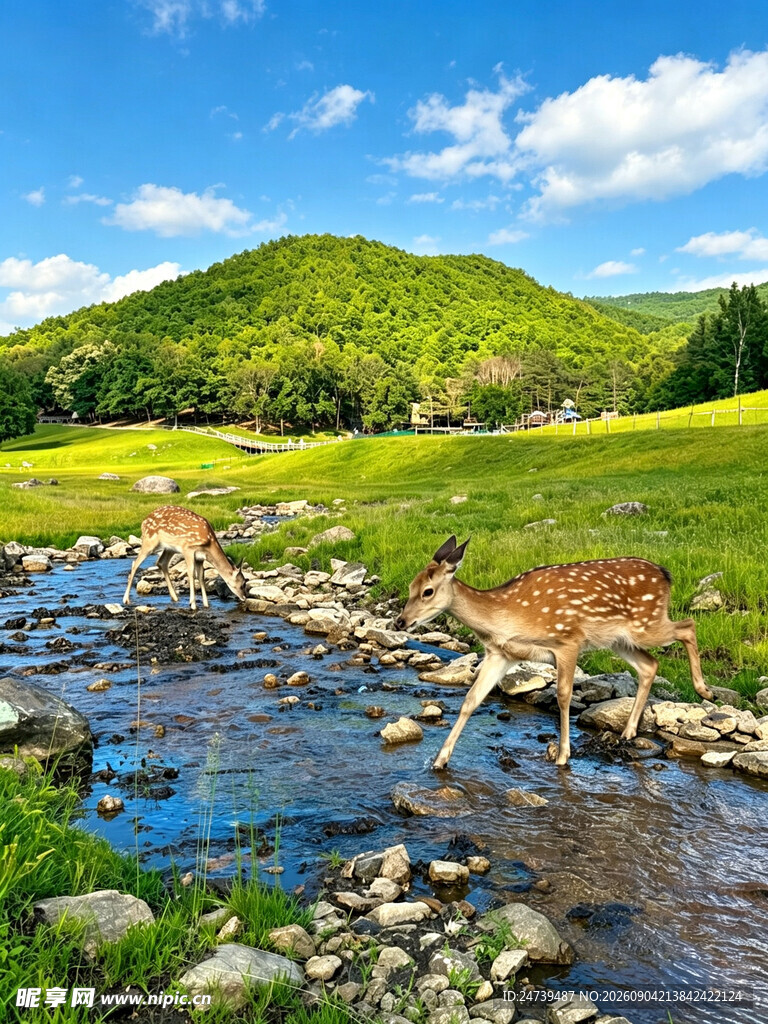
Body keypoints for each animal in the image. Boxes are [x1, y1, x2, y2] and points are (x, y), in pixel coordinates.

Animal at [396, 536, 712, 769]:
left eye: (427, 591)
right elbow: (471, 700)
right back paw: (628, 731)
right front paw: (440, 760)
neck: (506, 617)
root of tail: (665, 574)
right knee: (650, 665)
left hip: (645, 624)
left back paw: (704, 689)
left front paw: (562, 756)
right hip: (619, 639)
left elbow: (563, 696)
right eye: (409, 586)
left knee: (688, 625)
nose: (400, 621)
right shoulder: (501, 653)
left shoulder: (568, 641)